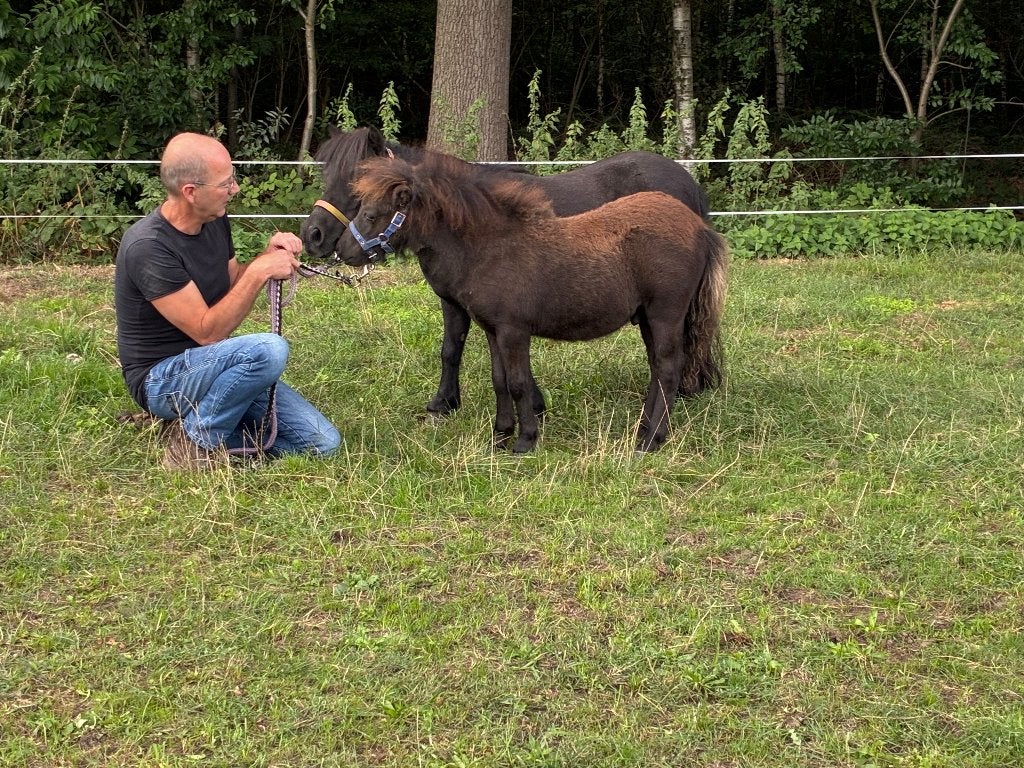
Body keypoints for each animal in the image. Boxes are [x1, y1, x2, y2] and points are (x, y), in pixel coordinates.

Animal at [300, 125, 710, 420]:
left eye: (355, 182)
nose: (313, 235)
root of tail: (686, 182)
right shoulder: (457, 302)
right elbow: (452, 349)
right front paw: (445, 404)